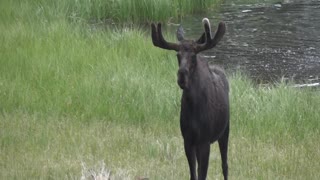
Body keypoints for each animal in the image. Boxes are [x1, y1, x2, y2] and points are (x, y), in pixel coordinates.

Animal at [151, 18, 229, 180]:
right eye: (177, 55)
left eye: (193, 56)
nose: (182, 75)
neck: (193, 106)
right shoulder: (188, 140)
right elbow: (194, 174)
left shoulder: (204, 141)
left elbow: (202, 174)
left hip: (225, 130)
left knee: (225, 165)